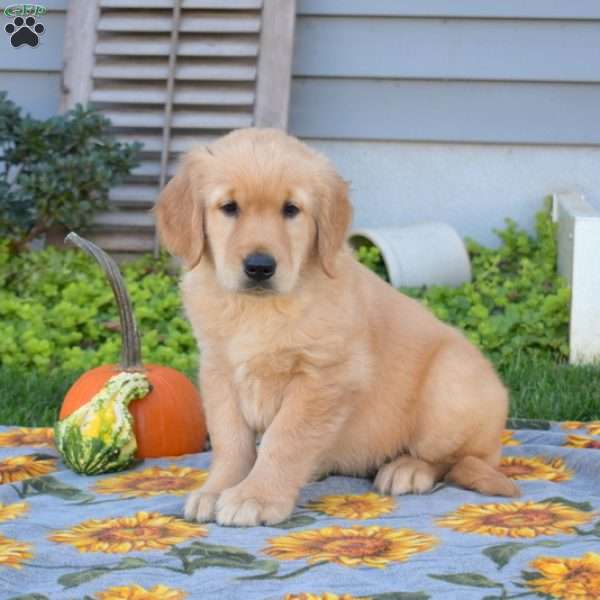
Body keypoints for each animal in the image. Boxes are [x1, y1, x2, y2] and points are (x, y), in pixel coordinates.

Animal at [156, 126, 520, 524]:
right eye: (229, 208)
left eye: (291, 210)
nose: (259, 267)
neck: (259, 310)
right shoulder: (219, 370)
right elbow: (231, 441)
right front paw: (216, 489)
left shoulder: (324, 376)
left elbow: (284, 440)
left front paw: (256, 496)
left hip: (450, 386)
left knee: (459, 460)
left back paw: (408, 469)